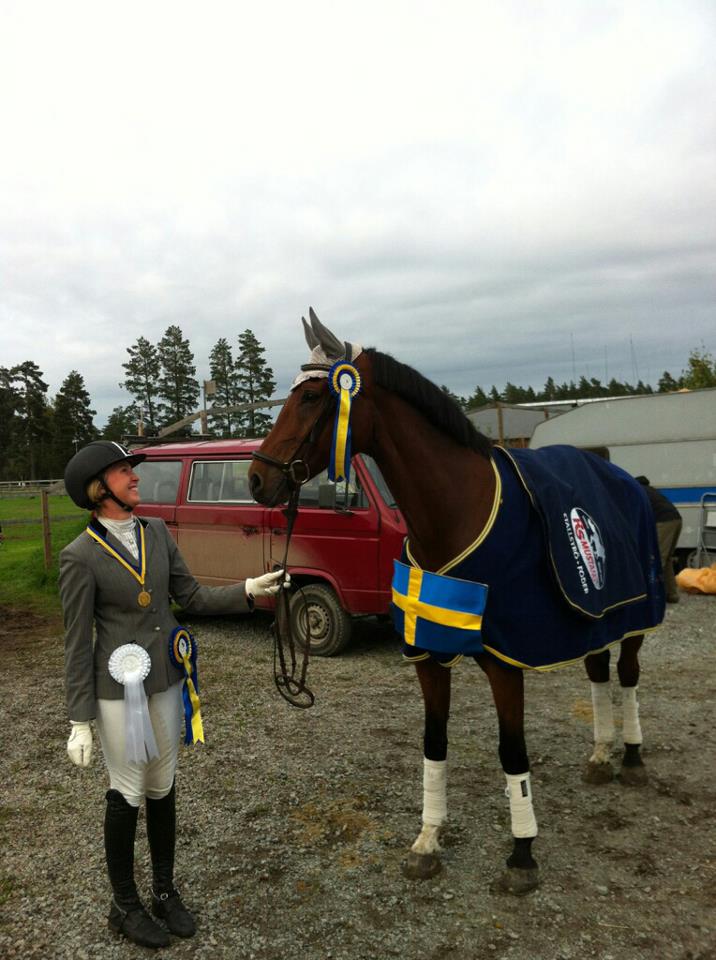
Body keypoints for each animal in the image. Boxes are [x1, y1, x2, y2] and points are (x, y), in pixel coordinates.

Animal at [248, 310, 664, 892]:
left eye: (310, 397)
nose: (257, 478)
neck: (454, 515)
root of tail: (629, 479)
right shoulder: (427, 655)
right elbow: (434, 742)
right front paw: (428, 840)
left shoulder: (505, 661)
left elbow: (512, 750)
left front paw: (522, 853)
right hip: (594, 616)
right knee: (598, 672)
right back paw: (602, 754)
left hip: (633, 617)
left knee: (625, 675)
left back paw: (631, 757)